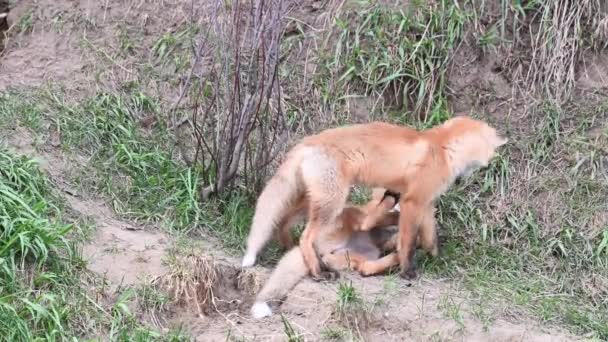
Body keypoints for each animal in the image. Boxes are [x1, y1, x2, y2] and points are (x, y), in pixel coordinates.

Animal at [240, 116, 506, 280]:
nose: (495, 160)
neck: (442, 148)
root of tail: (307, 141)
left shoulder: (427, 202)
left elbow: (431, 236)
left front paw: (435, 256)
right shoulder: (413, 201)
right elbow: (408, 243)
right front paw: (408, 270)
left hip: (313, 200)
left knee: (283, 223)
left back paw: (291, 250)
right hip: (333, 202)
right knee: (309, 236)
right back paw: (317, 271)